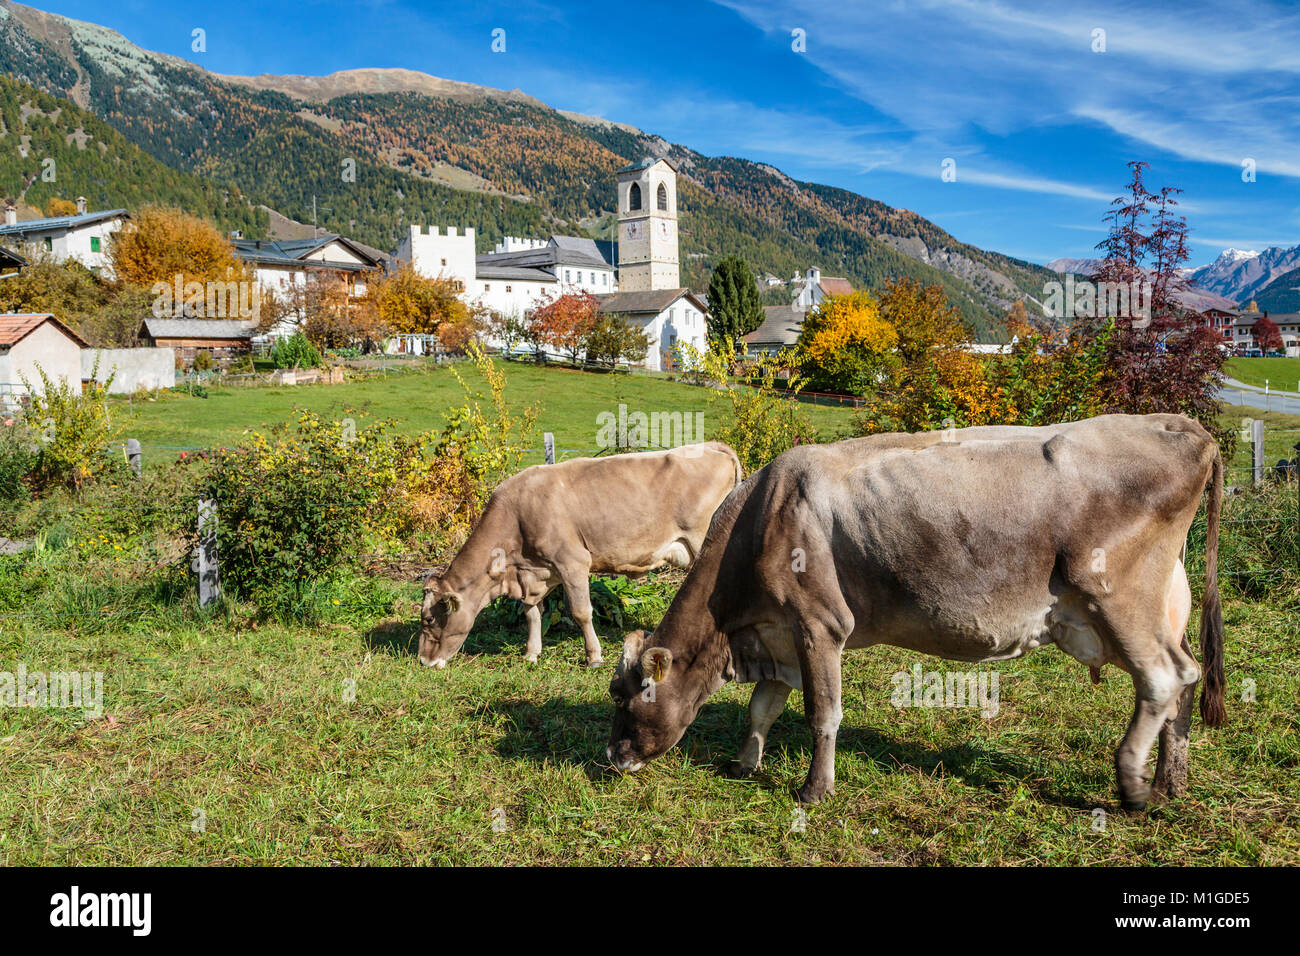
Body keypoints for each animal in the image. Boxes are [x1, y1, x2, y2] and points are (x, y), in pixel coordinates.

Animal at [418, 439, 743, 665]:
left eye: (429, 620)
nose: (423, 661)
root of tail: (711, 446)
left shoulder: (572, 562)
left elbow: (581, 612)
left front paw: (594, 656)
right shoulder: (538, 571)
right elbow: (532, 613)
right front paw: (531, 653)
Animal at [603, 416, 1222, 811]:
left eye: (624, 698)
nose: (612, 758)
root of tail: (1176, 424)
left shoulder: (819, 624)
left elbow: (821, 713)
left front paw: (814, 791)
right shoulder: (779, 633)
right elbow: (763, 707)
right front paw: (743, 763)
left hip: (1118, 597)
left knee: (1163, 678)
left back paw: (1133, 786)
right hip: (1153, 605)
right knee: (1189, 673)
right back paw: (1171, 781)